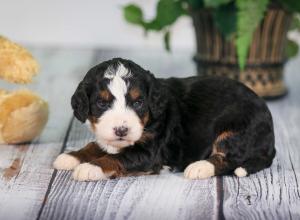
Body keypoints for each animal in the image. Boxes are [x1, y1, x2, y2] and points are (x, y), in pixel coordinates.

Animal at [52, 57, 276, 181]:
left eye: (138, 102)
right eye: (101, 103)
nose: (121, 130)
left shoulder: (148, 153)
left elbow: (115, 158)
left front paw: (90, 167)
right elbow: (95, 146)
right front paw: (72, 156)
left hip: (237, 128)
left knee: (230, 158)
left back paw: (199, 167)